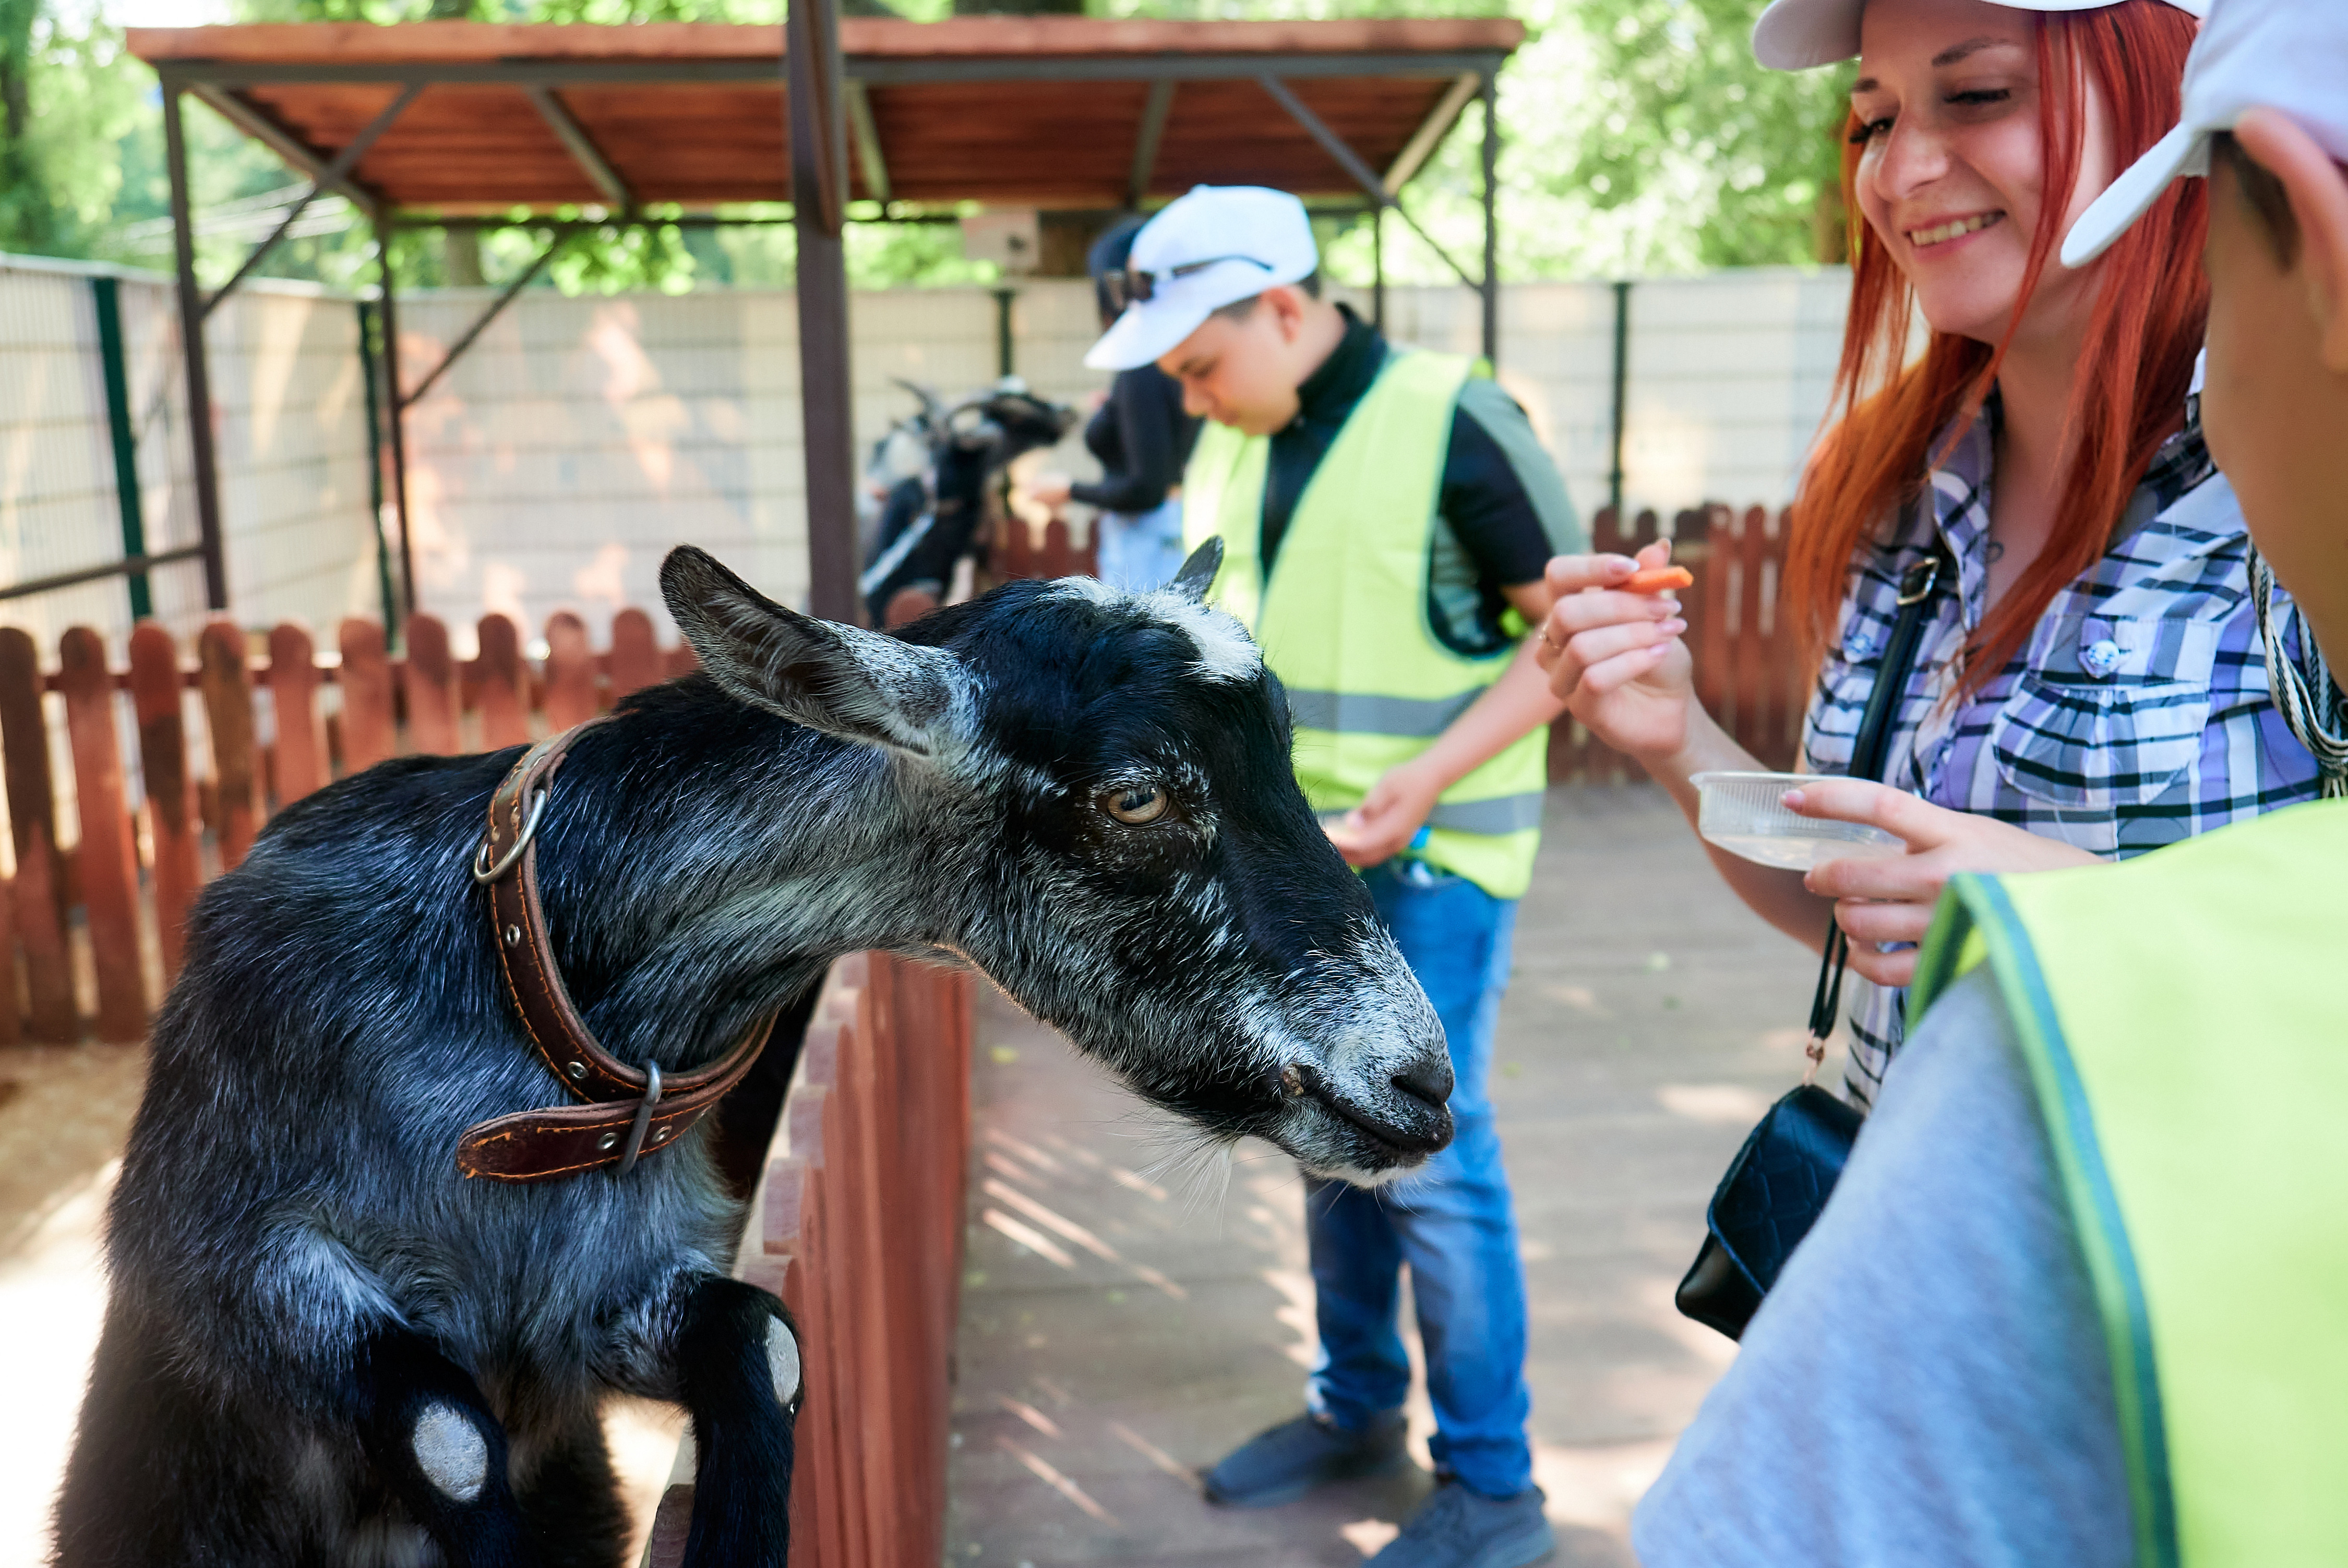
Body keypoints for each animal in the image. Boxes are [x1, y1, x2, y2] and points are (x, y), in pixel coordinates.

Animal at [55, 542, 1446, 1568]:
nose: (1420, 1086)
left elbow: (762, 1343)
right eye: (1134, 797)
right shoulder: (219, 1252)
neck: (533, 988)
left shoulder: (600, 1299)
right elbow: (449, 1427)